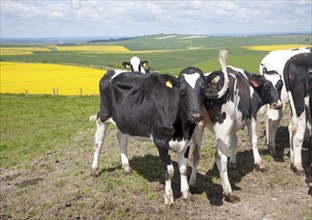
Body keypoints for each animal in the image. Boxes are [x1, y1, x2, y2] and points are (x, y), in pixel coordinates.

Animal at [90, 51, 229, 205]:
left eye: (203, 89)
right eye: (182, 90)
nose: (196, 115)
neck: (181, 128)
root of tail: (112, 71)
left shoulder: (186, 141)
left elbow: (183, 169)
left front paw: (186, 193)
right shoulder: (161, 142)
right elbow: (169, 171)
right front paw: (169, 197)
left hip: (125, 120)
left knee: (121, 137)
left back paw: (126, 167)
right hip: (103, 115)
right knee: (98, 143)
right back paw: (94, 170)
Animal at [190, 55, 282, 203]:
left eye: (280, 85)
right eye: (267, 86)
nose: (278, 104)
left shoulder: (233, 126)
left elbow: (235, 141)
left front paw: (233, 162)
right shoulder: (252, 116)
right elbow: (253, 140)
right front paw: (259, 163)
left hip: (199, 124)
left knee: (195, 153)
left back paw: (192, 185)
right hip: (223, 128)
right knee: (219, 156)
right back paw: (228, 192)